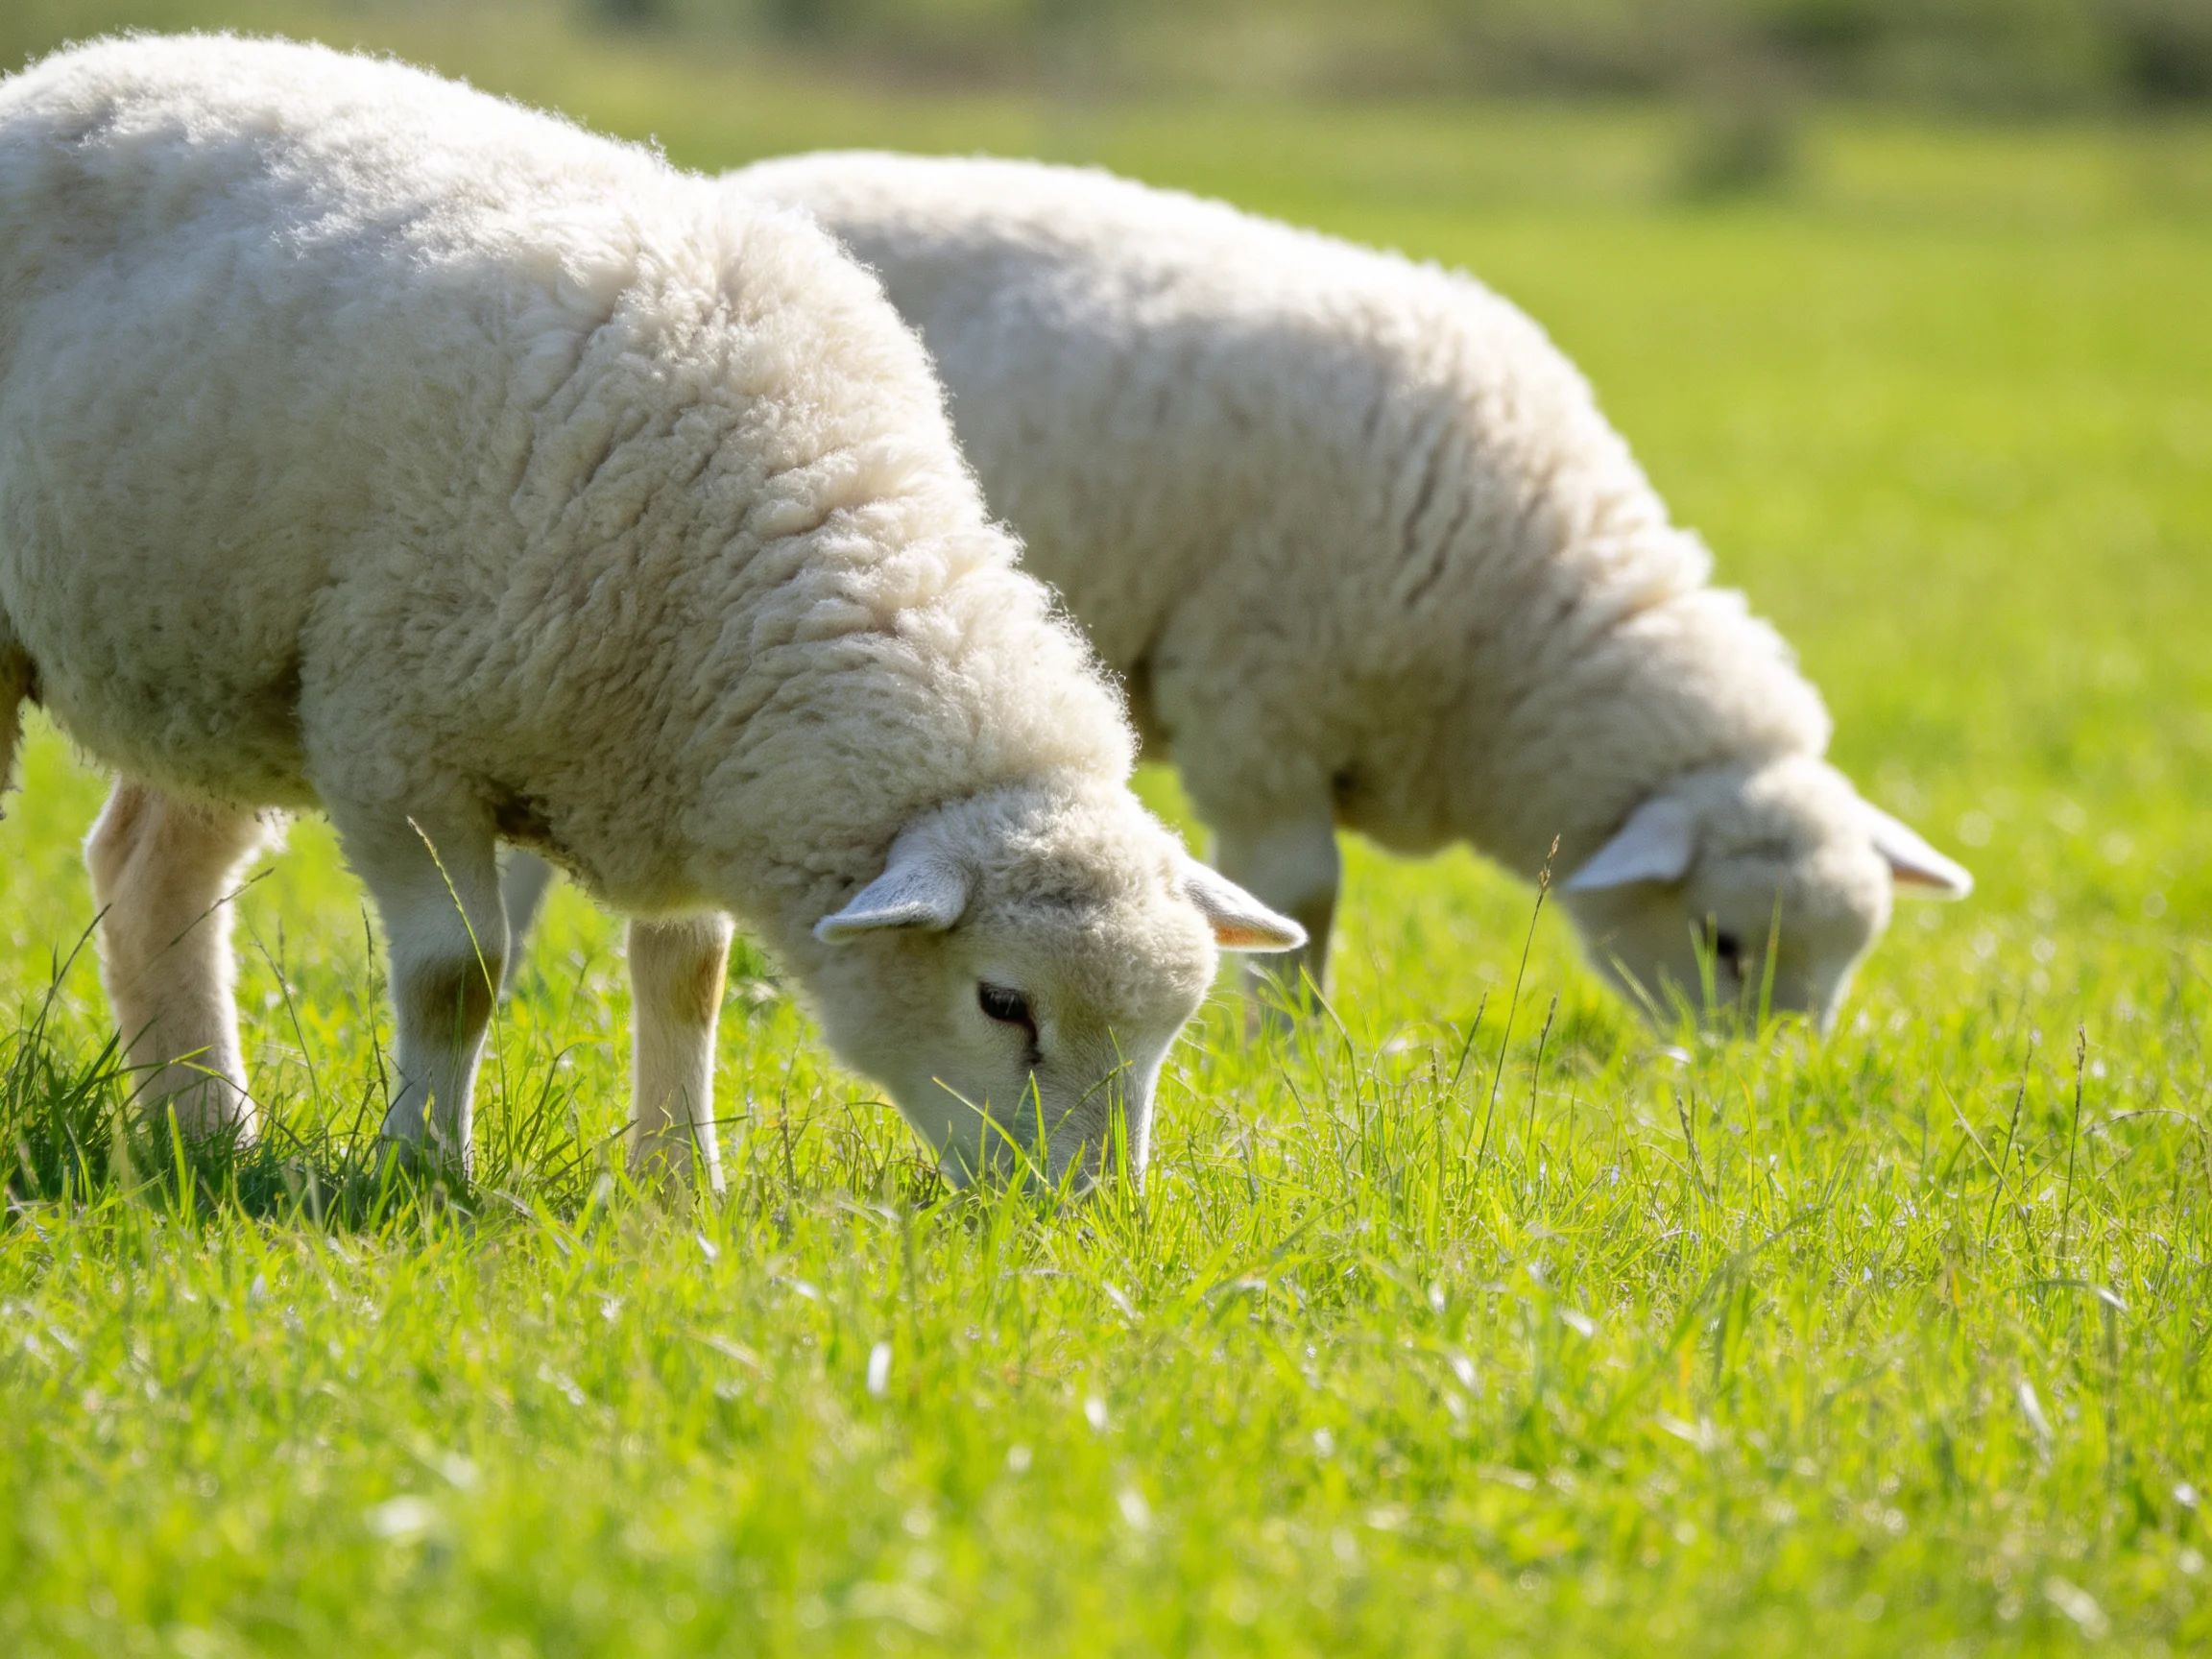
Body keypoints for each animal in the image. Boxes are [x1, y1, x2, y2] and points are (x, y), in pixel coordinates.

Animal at [0, 39, 1302, 1189]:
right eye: (1002, 1003)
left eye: (1170, 1027)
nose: (1082, 1216)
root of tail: (67, 69)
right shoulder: (398, 742)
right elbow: (458, 976)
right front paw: (425, 1168)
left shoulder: (684, 765)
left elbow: (688, 976)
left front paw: (680, 1184)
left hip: (199, 657)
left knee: (150, 875)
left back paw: (202, 1131)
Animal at [698, 151, 1971, 1031]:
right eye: (1721, 942)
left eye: (1848, 959)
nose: (1754, 1082)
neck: (1512, 620)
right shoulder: (1265, 702)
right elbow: (1304, 894)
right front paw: (1293, 1042)